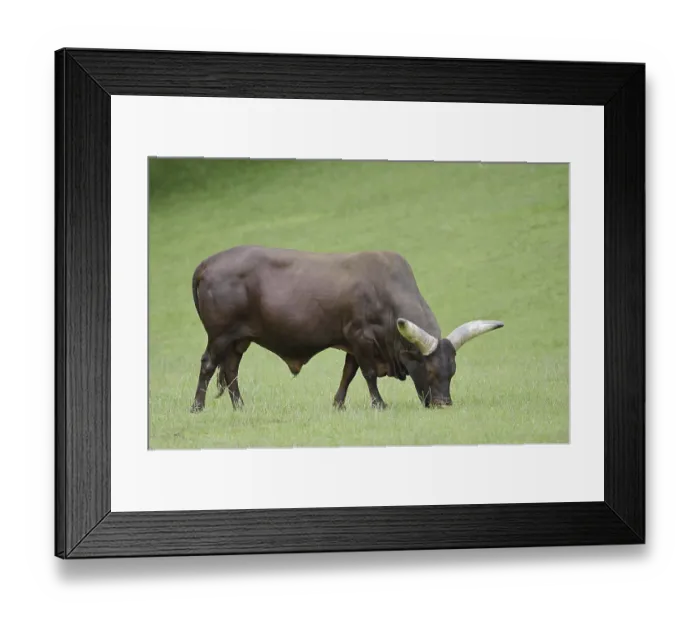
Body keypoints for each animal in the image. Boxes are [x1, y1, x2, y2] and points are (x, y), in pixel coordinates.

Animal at [190, 245, 504, 412]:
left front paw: (338, 404)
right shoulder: (361, 337)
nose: (443, 404)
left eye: (452, 372)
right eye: (430, 371)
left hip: (238, 339)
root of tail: (208, 263)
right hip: (219, 335)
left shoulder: (354, 343)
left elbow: (348, 374)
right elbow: (367, 374)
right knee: (208, 365)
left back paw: (240, 407)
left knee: (231, 369)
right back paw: (197, 407)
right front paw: (379, 404)